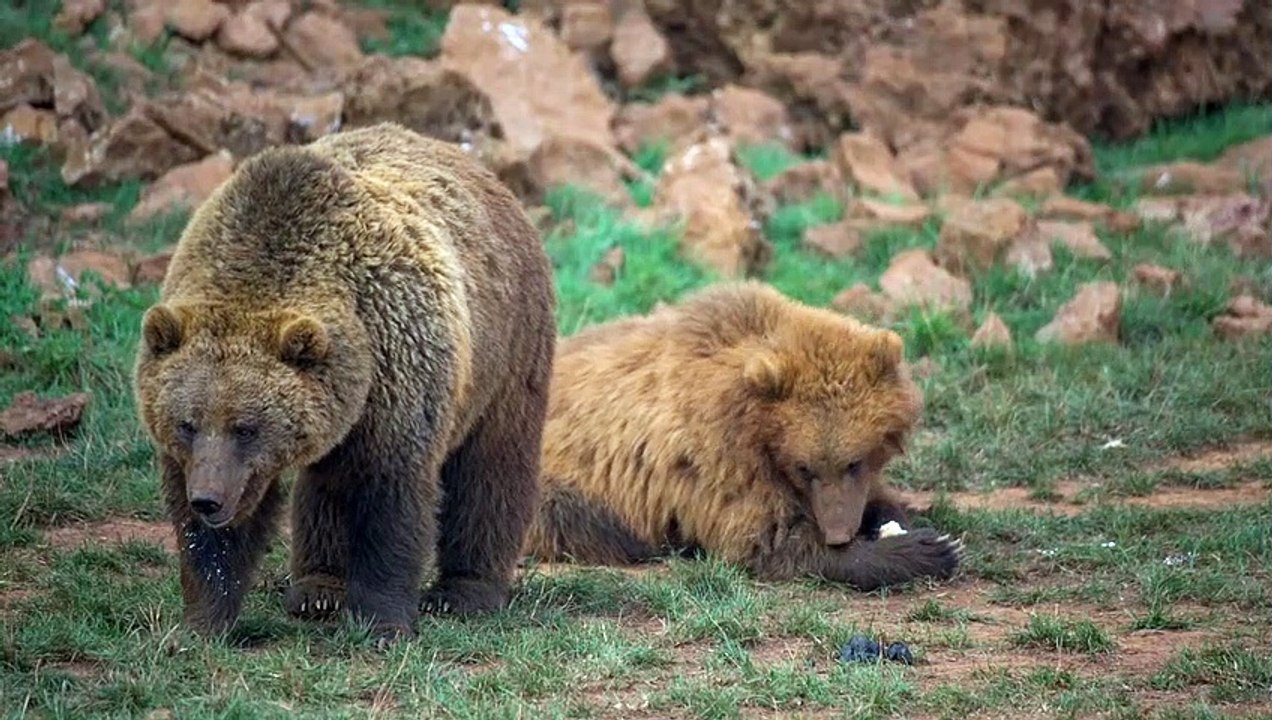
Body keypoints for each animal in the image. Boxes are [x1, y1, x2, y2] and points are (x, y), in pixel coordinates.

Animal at [133, 122, 556, 641]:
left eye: (246, 426)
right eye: (187, 423)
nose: (208, 500)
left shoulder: (396, 363)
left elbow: (389, 496)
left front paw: (383, 620)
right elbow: (211, 536)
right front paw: (202, 621)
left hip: (507, 349)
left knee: (490, 467)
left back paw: (466, 592)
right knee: (327, 481)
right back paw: (318, 589)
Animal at [522, 281, 961, 590]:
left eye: (854, 461)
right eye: (806, 467)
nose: (838, 534)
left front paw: (894, 520)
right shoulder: (717, 459)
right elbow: (766, 538)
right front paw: (925, 550)